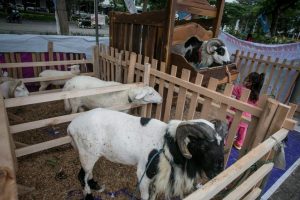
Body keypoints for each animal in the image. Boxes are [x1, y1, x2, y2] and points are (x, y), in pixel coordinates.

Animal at [68, 108, 227, 200]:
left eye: (222, 144)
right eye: (203, 146)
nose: (219, 169)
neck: (165, 143)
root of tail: (71, 126)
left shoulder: (157, 176)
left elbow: (153, 194)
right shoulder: (143, 174)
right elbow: (145, 196)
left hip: (90, 154)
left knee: (87, 173)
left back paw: (95, 185)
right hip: (88, 153)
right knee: (81, 176)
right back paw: (89, 196)